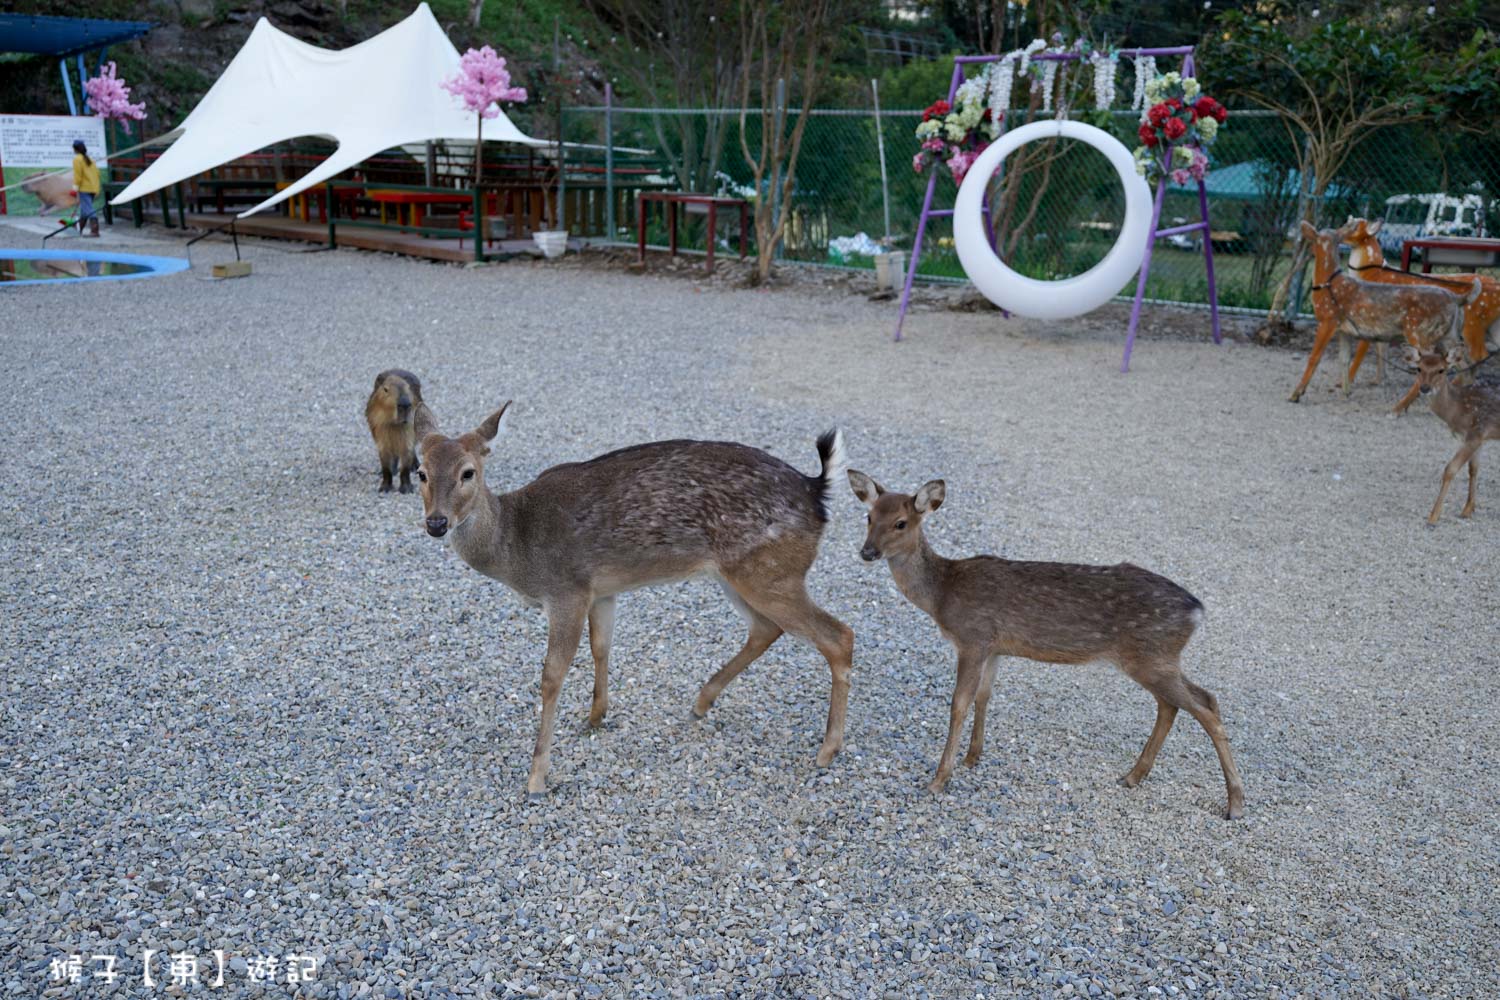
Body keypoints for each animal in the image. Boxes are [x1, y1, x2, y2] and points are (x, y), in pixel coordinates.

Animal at [417, 401, 858, 791]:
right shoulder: (600, 590)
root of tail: (817, 490)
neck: (516, 546)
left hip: (770, 571)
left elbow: (552, 676)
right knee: (766, 628)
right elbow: (601, 647)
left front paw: (537, 777)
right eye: (420, 472)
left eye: (468, 472)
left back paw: (827, 749)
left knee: (838, 635)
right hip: (739, 574)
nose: (437, 523)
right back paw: (702, 701)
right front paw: (595, 716)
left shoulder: (566, 590)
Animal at [852, 470, 1248, 821]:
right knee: (1177, 703)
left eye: (901, 523)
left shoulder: (972, 638)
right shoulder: (994, 647)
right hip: (1156, 658)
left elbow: (959, 703)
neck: (942, 595)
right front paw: (972, 757)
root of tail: (1197, 610)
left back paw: (1235, 804)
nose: (867, 552)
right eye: (869, 517)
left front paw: (939, 779)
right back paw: (1133, 776)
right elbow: (984, 696)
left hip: (1152, 656)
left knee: (1205, 706)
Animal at [1284, 223, 1482, 410]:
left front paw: (1296, 394)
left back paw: (1400, 407)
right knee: (1464, 367)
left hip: (1420, 331)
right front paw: (1346, 392)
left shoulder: (1328, 319)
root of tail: (1457, 299)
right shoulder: (1344, 330)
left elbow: (1314, 358)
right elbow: (1344, 360)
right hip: (1448, 335)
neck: (1328, 284)